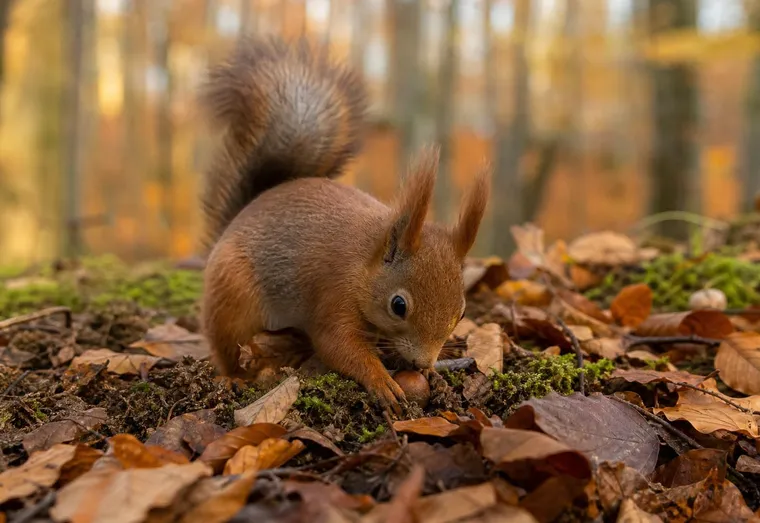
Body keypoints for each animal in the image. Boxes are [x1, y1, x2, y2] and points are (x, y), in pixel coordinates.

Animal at [199, 36, 490, 411]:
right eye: (398, 306)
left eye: (463, 311)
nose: (422, 362)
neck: (366, 262)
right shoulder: (334, 294)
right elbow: (338, 345)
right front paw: (381, 381)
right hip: (231, 296)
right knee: (227, 346)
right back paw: (234, 376)